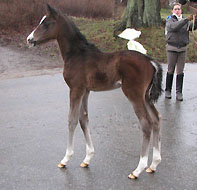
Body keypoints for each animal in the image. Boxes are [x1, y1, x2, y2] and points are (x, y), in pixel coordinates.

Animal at [27, 4, 163, 180]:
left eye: (46, 23)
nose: (29, 39)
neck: (77, 54)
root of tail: (151, 61)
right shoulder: (85, 91)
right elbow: (83, 119)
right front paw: (87, 158)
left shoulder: (75, 89)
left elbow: (71, 120)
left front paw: (65, 159)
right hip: (146, 96)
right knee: (156, 119)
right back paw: (153, 165)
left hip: (134, 95)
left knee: (146, 123)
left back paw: (138, 169)